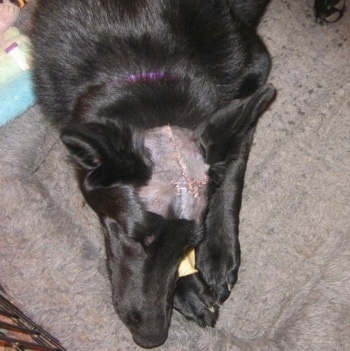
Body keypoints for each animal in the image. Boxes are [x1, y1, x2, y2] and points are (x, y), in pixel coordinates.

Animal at [30, 0, 274, 350]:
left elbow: (233, 162)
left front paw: (218, 252)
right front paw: (189, 292)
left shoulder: (256, 68)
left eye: (192, 243)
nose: (151, 337)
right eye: (134, 238)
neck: (144, 66)